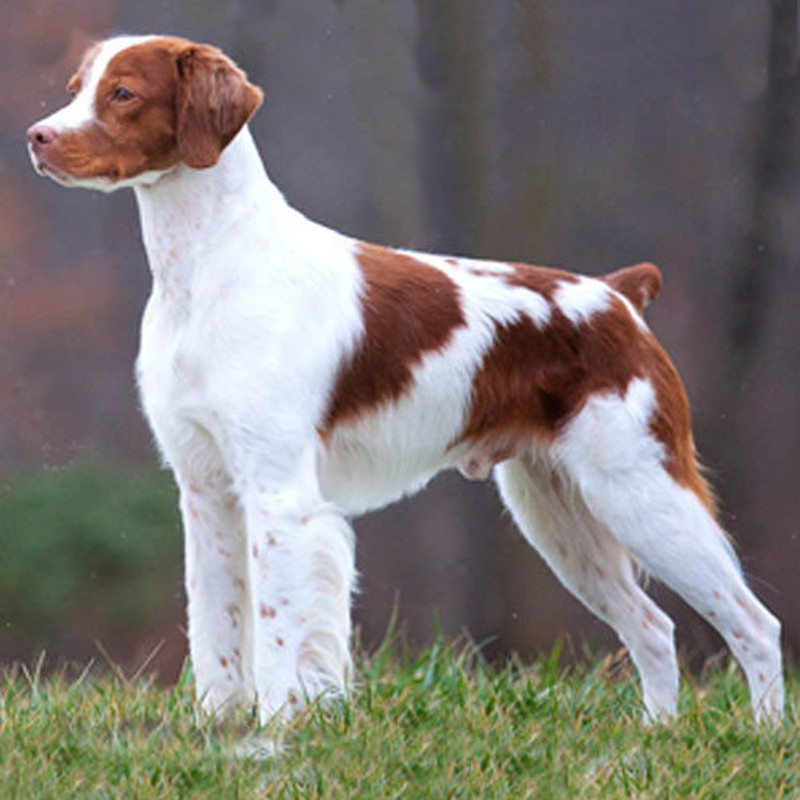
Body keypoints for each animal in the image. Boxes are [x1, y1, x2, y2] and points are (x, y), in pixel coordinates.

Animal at [28, 36, 784, 724]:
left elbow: (276, 634)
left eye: (123, 93)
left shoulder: (278, 495)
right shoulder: (206, 489)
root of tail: (618, 297)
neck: (209, 269)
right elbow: (215, 628)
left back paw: (763, 739)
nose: (36, 137)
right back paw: (655, 735)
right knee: (653, 628)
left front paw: (273, 738)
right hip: (559, 513)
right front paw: (217, 733)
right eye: (75, 87)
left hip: (640, 490)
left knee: (755, 624)